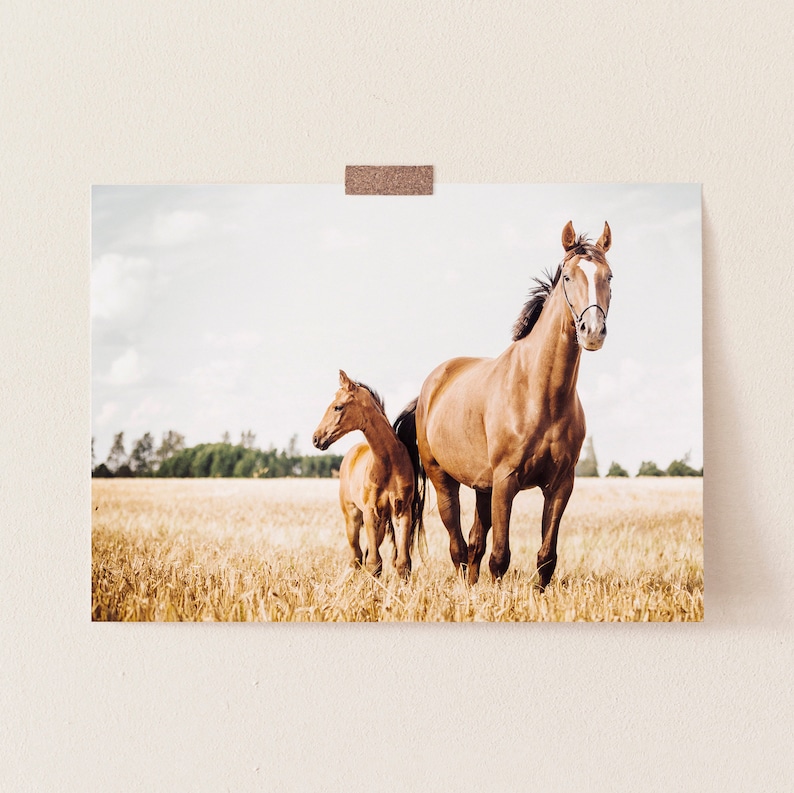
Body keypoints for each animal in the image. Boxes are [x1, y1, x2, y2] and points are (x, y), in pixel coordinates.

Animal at [312, 370, 426, 579]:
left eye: (338, 407)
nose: (316, 438)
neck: (388, 463)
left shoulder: (401, 512)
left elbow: (402, 563)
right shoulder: (370, 512)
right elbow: (374, 563)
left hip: (379, 524)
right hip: (352, 516)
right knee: (356, 556)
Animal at [396, 220, 613, 588]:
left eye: (609, 276)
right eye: (568, 277)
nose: (592, 331)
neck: (540, 394)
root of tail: (428, 390)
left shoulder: (560, 485)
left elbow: (545, 557)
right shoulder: (506, 480)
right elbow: (500, 557)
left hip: (483, 487)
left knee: (473, 544)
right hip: (444, 480)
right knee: (458, 545)